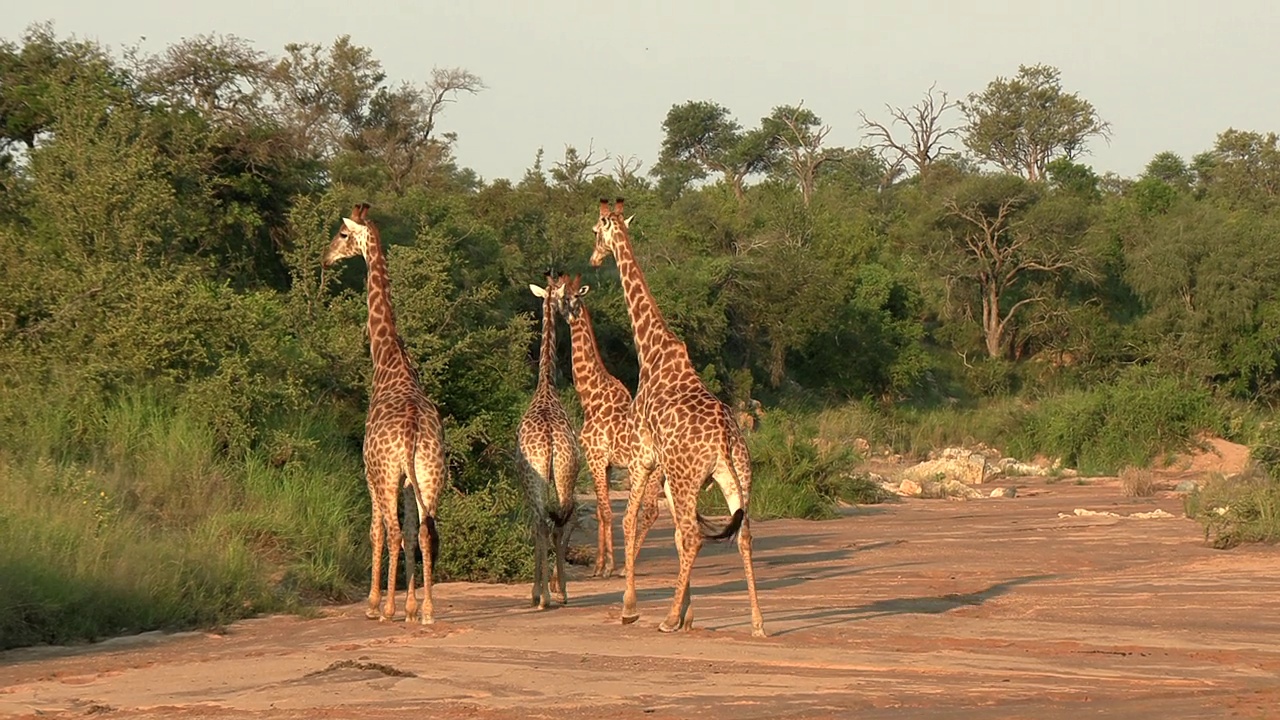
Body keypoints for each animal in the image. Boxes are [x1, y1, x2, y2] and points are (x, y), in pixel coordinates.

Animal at [322, 199, 448, 622]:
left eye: (343, 234)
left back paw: (387, 609)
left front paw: (378, 602)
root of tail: (411, 430)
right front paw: (411, 605)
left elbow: (376, 531)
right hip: (430, 473)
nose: (326, 257)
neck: (388, 360)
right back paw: (427, 610)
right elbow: (412, 533)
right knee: (425, 532)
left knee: (392, 532)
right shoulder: (410, 482)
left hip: (388, 474)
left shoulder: (370, 473)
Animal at [542, 270, 660, 576]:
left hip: (654, 470)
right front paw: (598, 564)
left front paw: (607, 567)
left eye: (570, 296)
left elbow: (606, 512)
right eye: (558, 293)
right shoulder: (604, 464)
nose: (557, 308)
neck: (590, 396)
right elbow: (599, 511)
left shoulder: (595, 457)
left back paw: (627, 566)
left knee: (650, 510)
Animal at [588, 194, 768, 632]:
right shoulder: (665, 471)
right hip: (735, 475)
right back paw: (756, 621)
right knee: (742, 534)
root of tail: (724, 436)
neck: (652, 352)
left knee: (693, 534)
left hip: (690, 477)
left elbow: (630, 520)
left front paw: (631, 607)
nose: (594, 258)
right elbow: (663, 532)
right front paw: (688, 611)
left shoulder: (643, 456)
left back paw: (666, 618)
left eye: (596, 231)